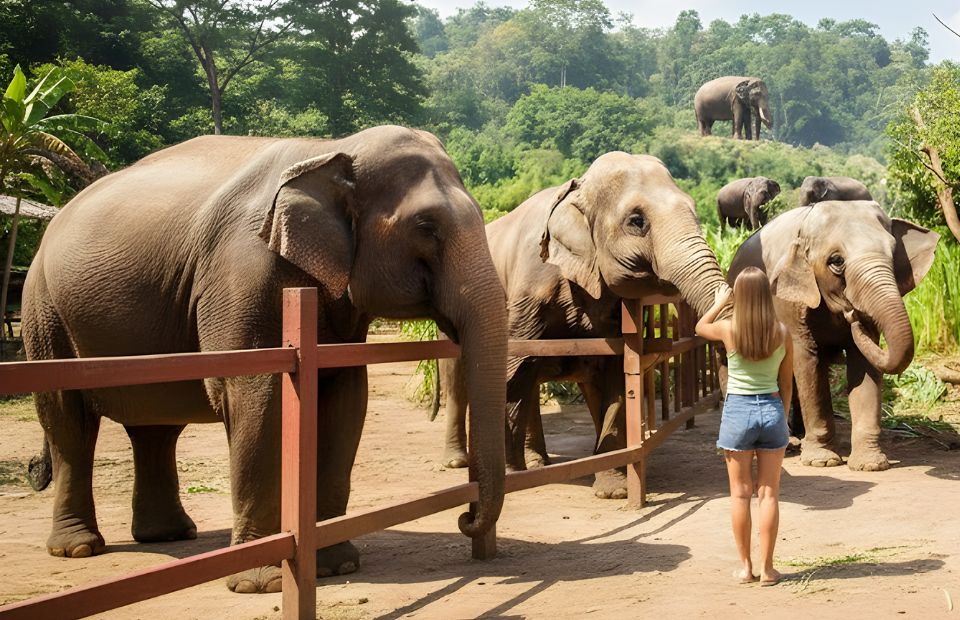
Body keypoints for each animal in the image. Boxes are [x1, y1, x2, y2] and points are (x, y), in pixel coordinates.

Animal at [20, 125, 508, 593]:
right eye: (426, 226)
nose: (465, 518)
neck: (331, 149)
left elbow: (346, 401)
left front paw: (338, 565)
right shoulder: (242, 276)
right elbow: (258, 399)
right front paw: (260, 584)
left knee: (155, 425)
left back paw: (169, 534)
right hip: (43, 313)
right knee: (68, 420)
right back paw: (78, 549)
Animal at [437, 152, 728, 499]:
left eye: (694, 210)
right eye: (636, 221)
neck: (578, 189)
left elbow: (615, 375)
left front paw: (612, 490)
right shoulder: (528, 293)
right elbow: (512, 368)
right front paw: (508, 478)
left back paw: (539, 462)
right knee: (459, 377)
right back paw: (458, 461)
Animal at [726, 201, 939, 471]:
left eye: (893, 254)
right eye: (837, 261)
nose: (854, 315)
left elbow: (863, 364)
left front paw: (870, 465)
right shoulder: (788, 303)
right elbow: (807, 362)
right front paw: (822, 461)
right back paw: (790, 442)